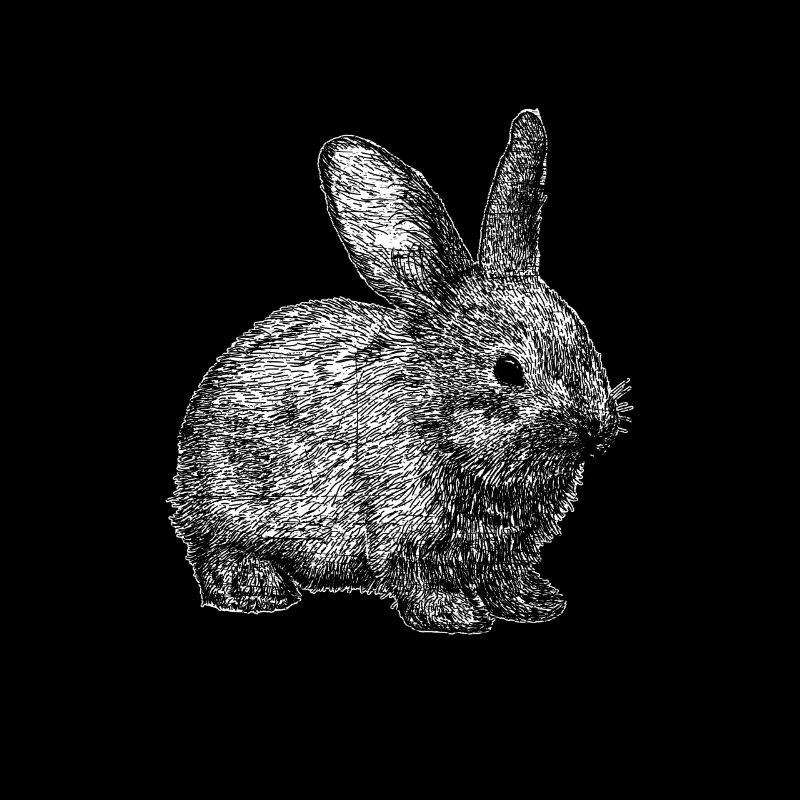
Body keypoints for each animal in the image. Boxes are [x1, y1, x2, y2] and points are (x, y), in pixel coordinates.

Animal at [170, 109, 631, 634]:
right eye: (507, 369)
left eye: (585, 341)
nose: (596, 429)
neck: (441, 415)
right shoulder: (403, 529)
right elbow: (419, 579)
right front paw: (456, 617)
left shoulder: (506, 549)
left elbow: (505, 574)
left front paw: (535, 604)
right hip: (224, 508)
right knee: (214, 551)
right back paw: (256, 588)